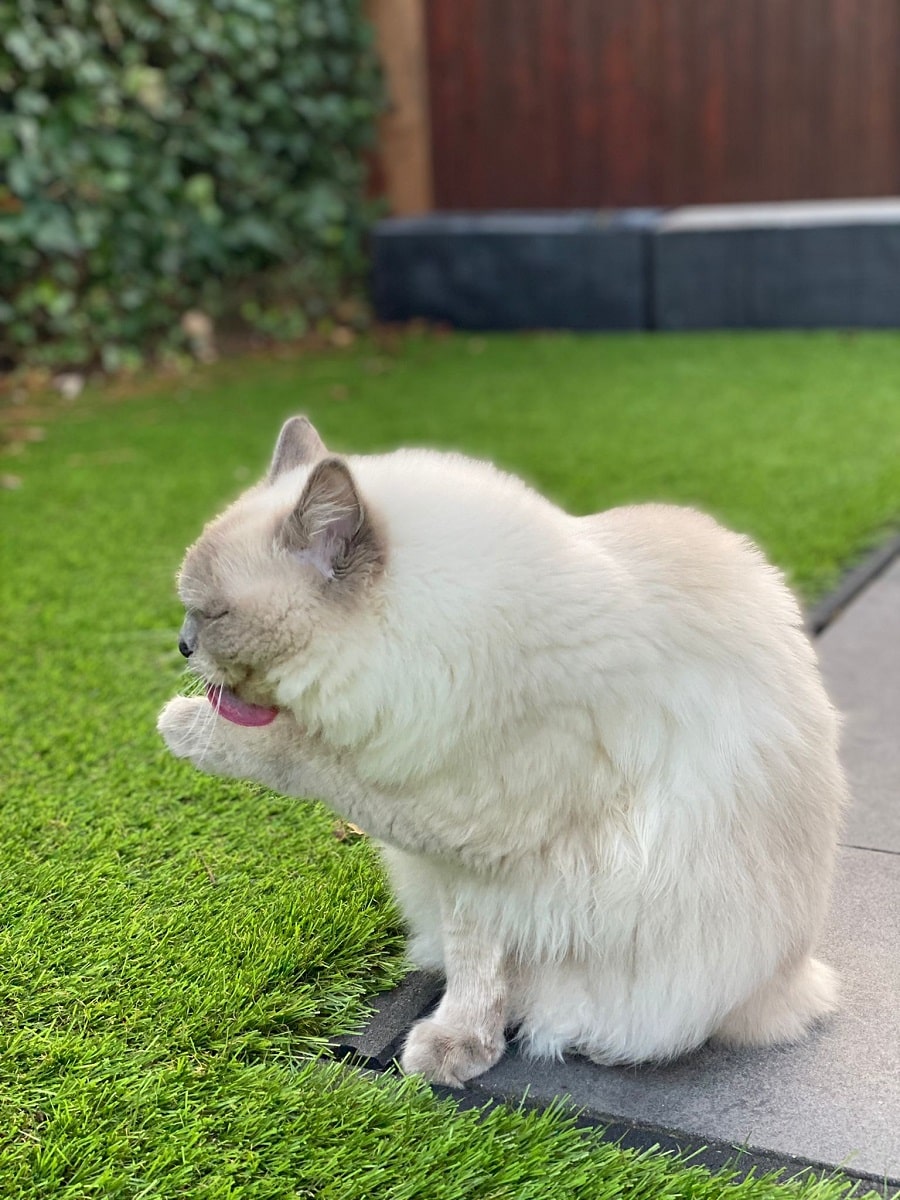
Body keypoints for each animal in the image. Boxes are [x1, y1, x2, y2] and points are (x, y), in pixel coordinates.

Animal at [160, 415, 844, 1089]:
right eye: (191, 612)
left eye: (212, 614)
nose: (183, 646)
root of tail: (795, 982)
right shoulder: (468, 870)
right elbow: (477, 968)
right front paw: (465, 1046)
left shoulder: (460, 818)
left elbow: (301, 755)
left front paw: (181, 724)